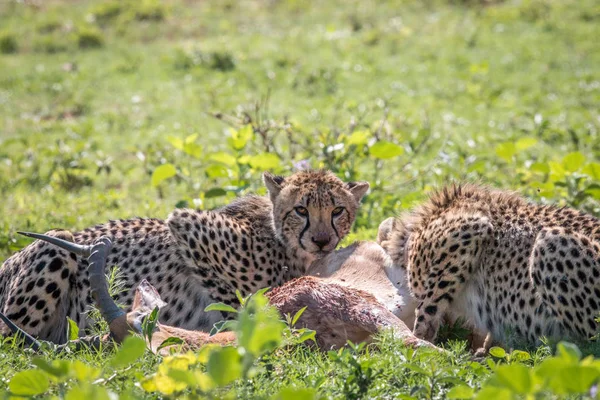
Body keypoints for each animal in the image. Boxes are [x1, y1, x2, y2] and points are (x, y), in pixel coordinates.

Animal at [0, 170, 368, 344]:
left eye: (337, 211)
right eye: (301, 210)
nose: (322, 241)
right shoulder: (186, 224)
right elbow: (231, 299)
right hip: (57, 243)